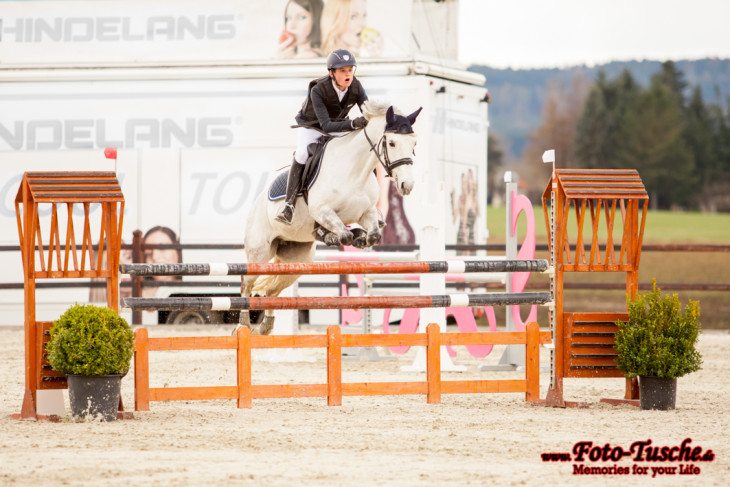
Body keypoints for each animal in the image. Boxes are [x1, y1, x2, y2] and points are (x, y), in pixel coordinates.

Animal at [237, 100, 422, 335]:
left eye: (414, 143)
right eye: (391, 142)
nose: (407, 185)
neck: (356, 171)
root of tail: (255, 207)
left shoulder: (367, 212)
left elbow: (373, 235)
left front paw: (360, 237)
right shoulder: (322, 211)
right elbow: (343, 235)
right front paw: (336, 236)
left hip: (296, 261)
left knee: (271, 290)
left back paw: (264, 328)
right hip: (259, 253)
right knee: (247, 283)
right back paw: (241, 326)